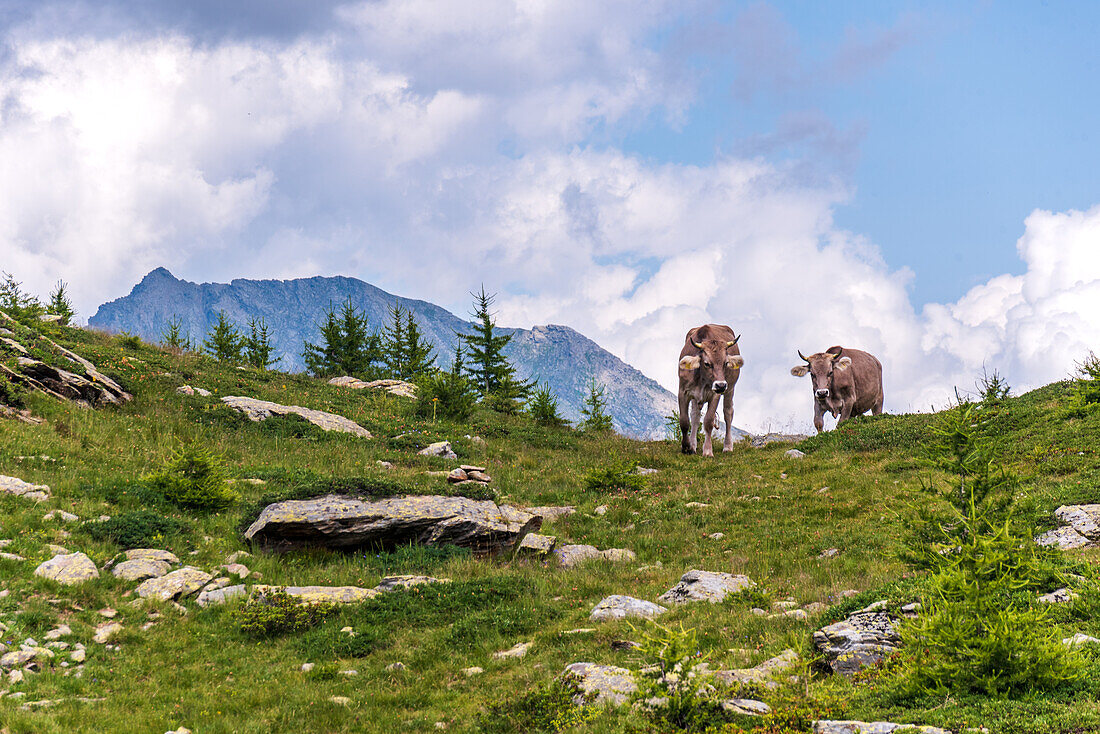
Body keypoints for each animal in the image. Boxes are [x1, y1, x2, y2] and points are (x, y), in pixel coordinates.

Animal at [673, 323, 743, 455]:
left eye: (725, 363)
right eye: (706, 363)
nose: (721, 385)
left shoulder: (715, 394)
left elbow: (708, 421)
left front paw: (708, 451)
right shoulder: (683, 392)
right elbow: (684, 421)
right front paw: (686, 447)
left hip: (730, 389)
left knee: (728, 413)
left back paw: (727, 446)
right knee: (695, 416)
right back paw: (693, 446)